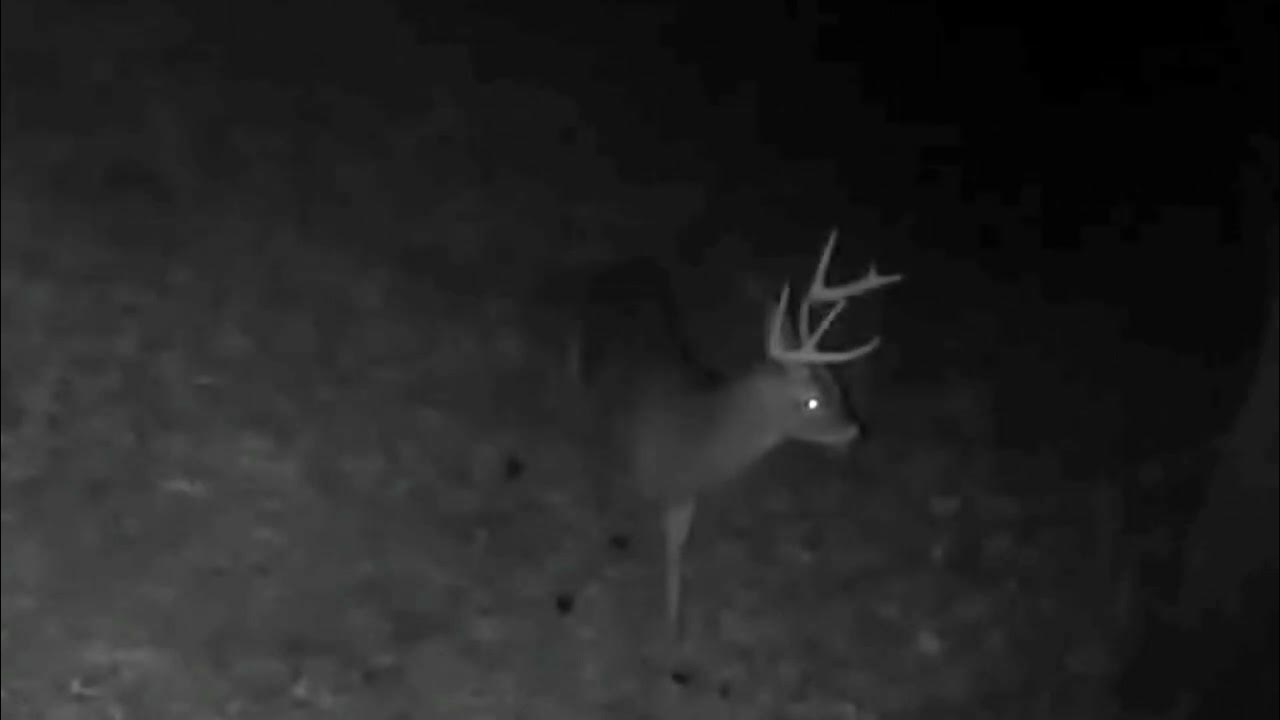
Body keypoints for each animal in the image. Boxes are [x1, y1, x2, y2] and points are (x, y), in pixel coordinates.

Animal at [569, 228, 903, 637]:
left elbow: (675, 552)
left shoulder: (682, 494)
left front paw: (673, 625)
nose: (854, 429)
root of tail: (619, 264)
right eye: (811, 402)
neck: (693, 433)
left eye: (839, 388)